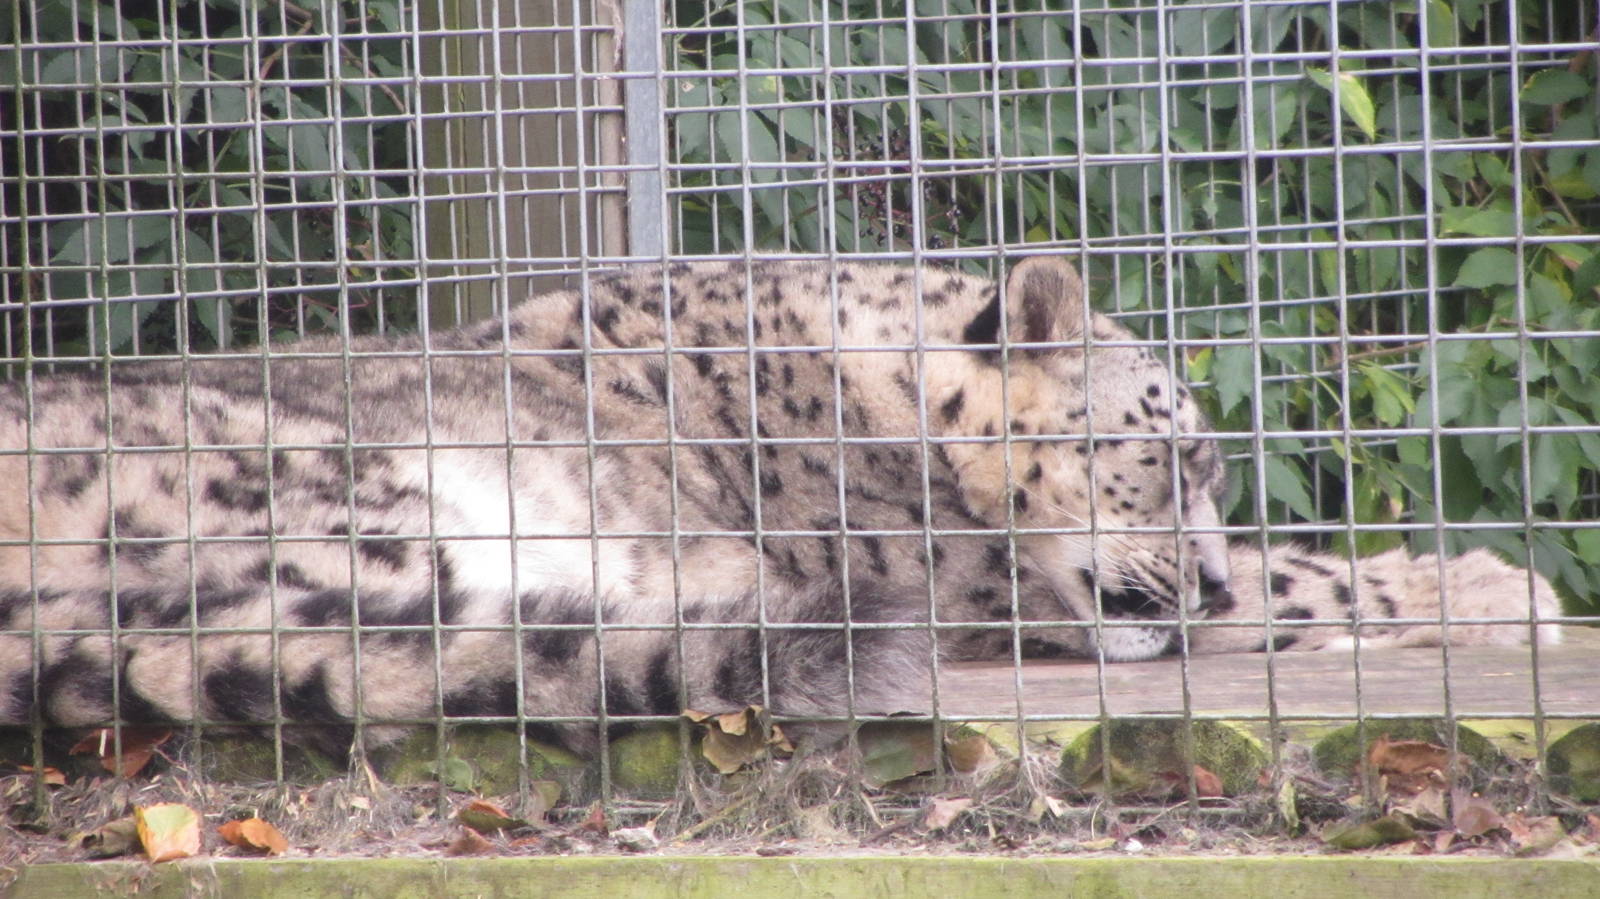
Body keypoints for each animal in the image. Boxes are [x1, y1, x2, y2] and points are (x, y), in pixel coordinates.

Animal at [0, 255, 1562, 753]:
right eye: (1171, 457)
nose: (1210, 578)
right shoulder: (967, 583)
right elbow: (1320, 576)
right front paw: (1502, 587)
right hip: (366, 498)